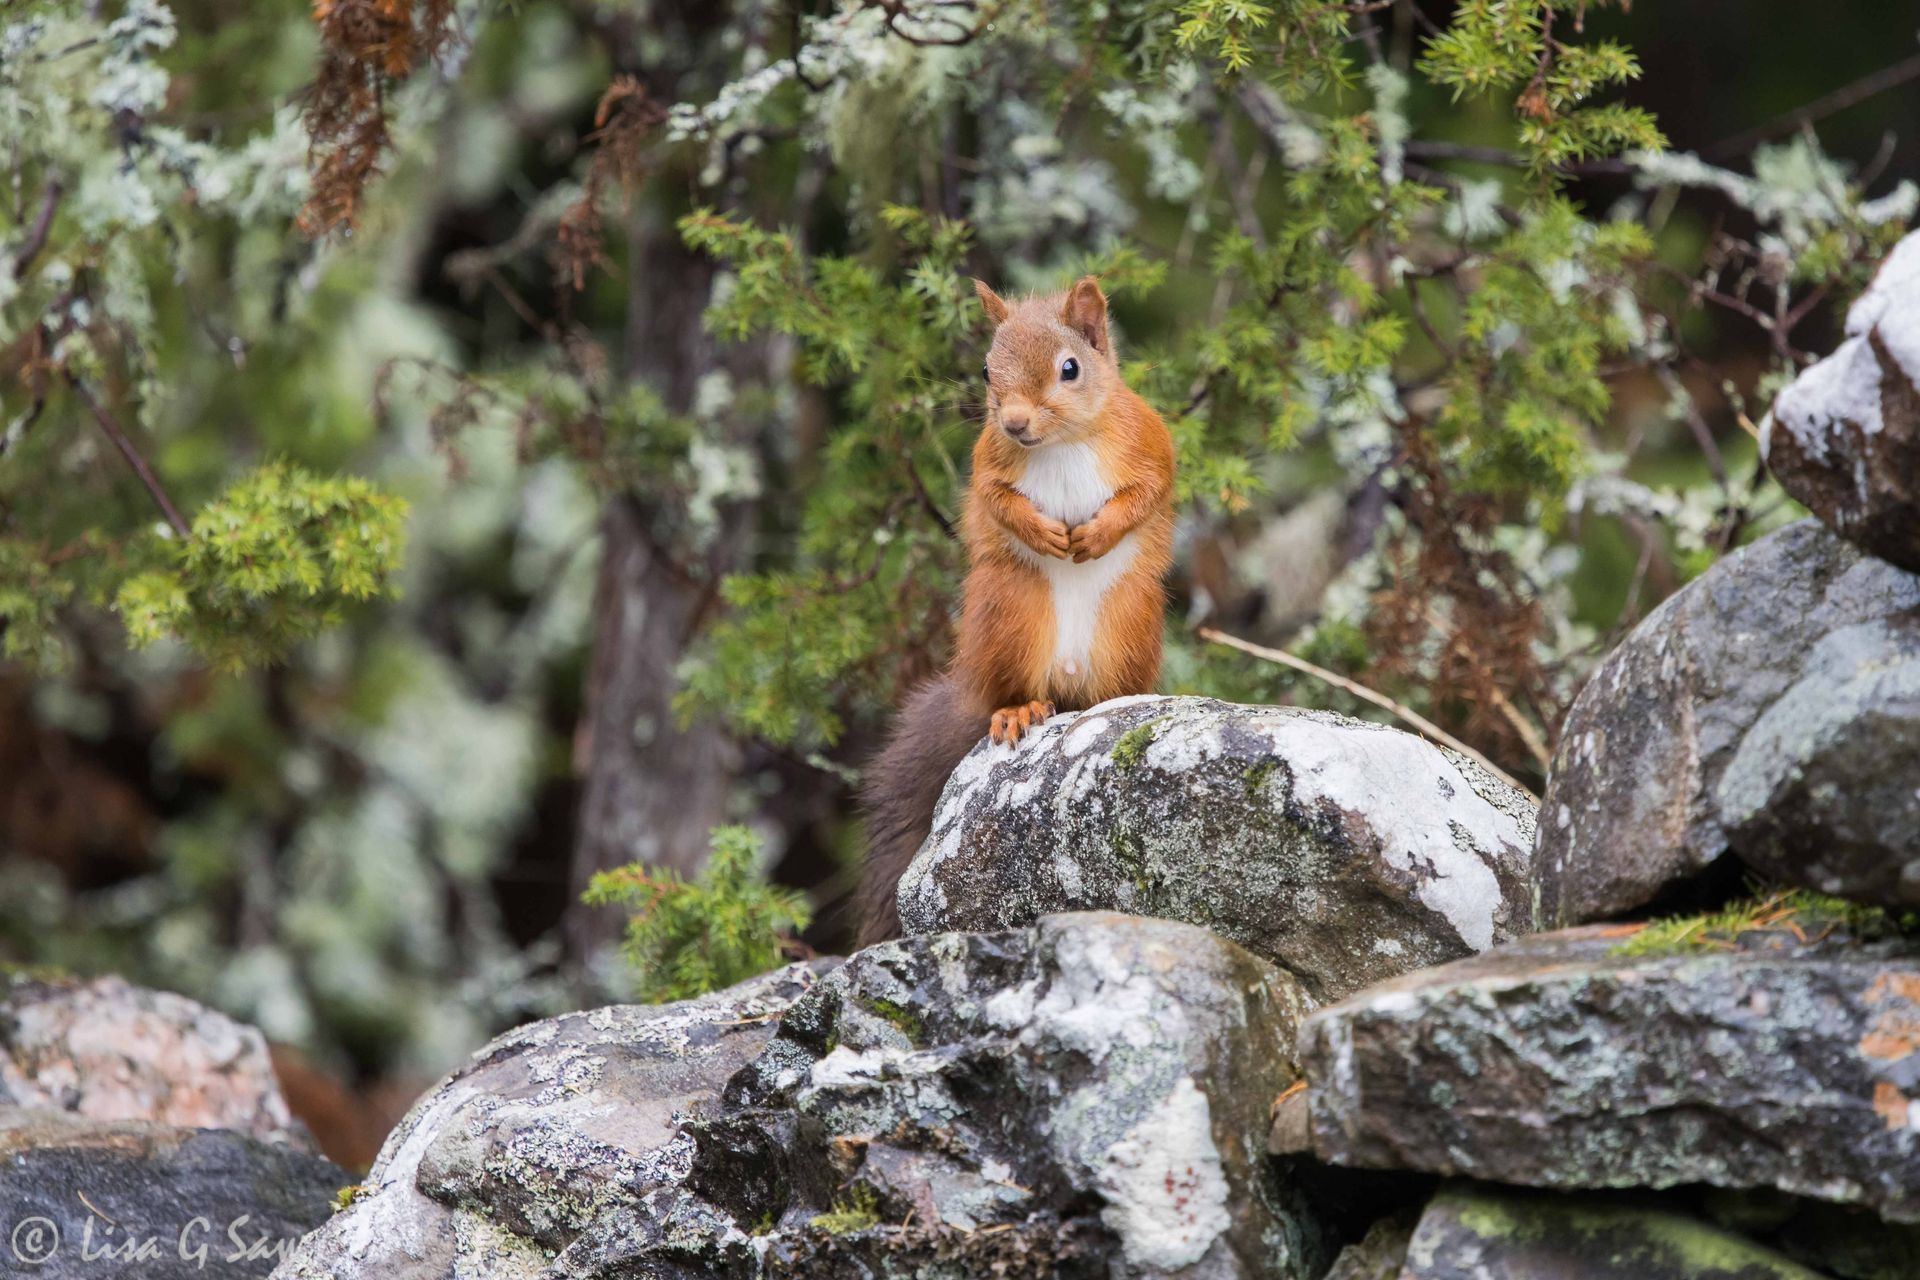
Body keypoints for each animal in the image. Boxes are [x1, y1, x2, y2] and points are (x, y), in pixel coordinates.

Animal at [854, 275, 1176, 944]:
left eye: (1070, 368)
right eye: (985, 369)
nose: (1015, 421)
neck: (1062, 443)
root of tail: (1069, 686)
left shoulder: (1149, 439)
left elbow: (1150, 488)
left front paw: (1097, 533)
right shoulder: (988, 462)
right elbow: (995, 500)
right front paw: (1041, 531)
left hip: (1130, 618)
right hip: (1010, 611)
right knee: (1009, 693)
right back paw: (1018, 710)